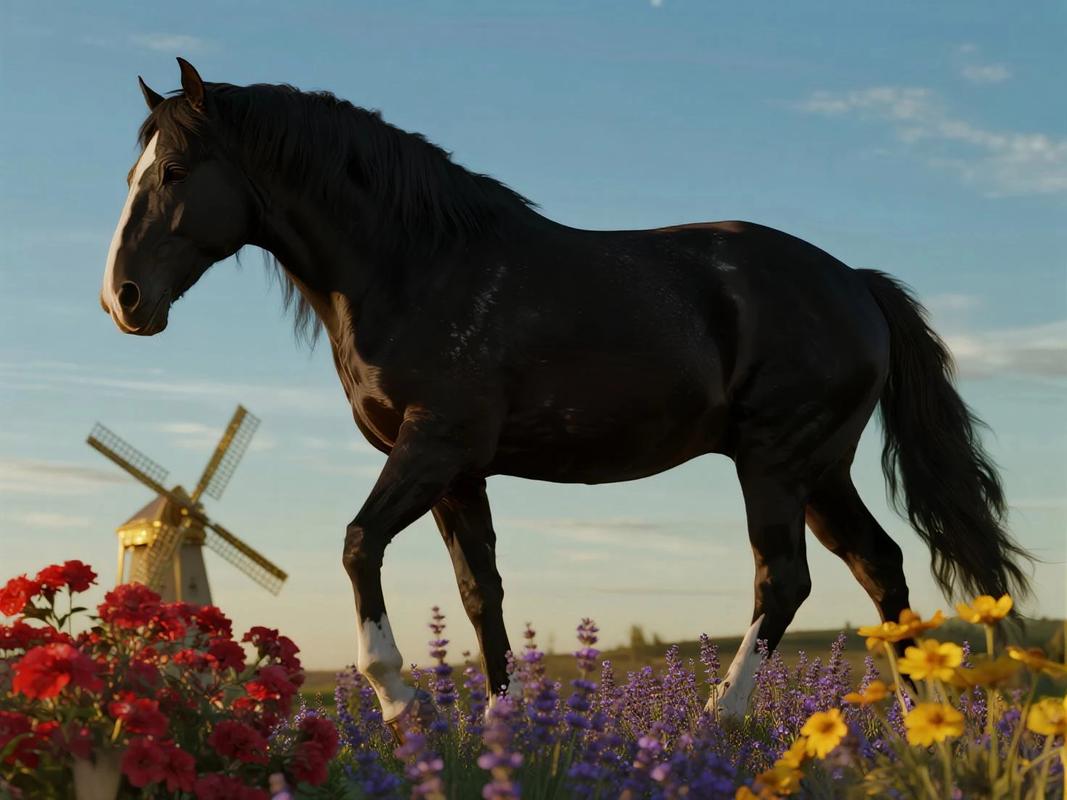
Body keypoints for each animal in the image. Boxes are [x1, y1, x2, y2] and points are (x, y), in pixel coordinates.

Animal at [101, 59, 1030, 728]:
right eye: (132, 171)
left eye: (176, 169)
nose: (123, 300)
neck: (415, 266)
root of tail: (856, 284)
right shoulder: (457, 475)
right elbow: (481, 596)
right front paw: (501, 730)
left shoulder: (430, 447)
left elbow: (359, 545)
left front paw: (398, 699)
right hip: (820, 470)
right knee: (880, 568)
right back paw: (916, 728)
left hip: (773, 461)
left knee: (785, 582)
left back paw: (714, 721)